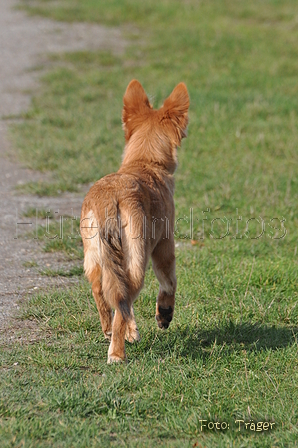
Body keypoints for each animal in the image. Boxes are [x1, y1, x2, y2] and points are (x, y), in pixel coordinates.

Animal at [80, 79, 190, 362]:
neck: (144, 162)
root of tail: (110, 197)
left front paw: (132, 330)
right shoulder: (164, 244)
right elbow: (169, 282)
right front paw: (164, 314)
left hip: (95, 256)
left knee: (107, 294)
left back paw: (111, 332)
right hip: (138, 259)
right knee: (124, 299)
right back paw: (117, 353)